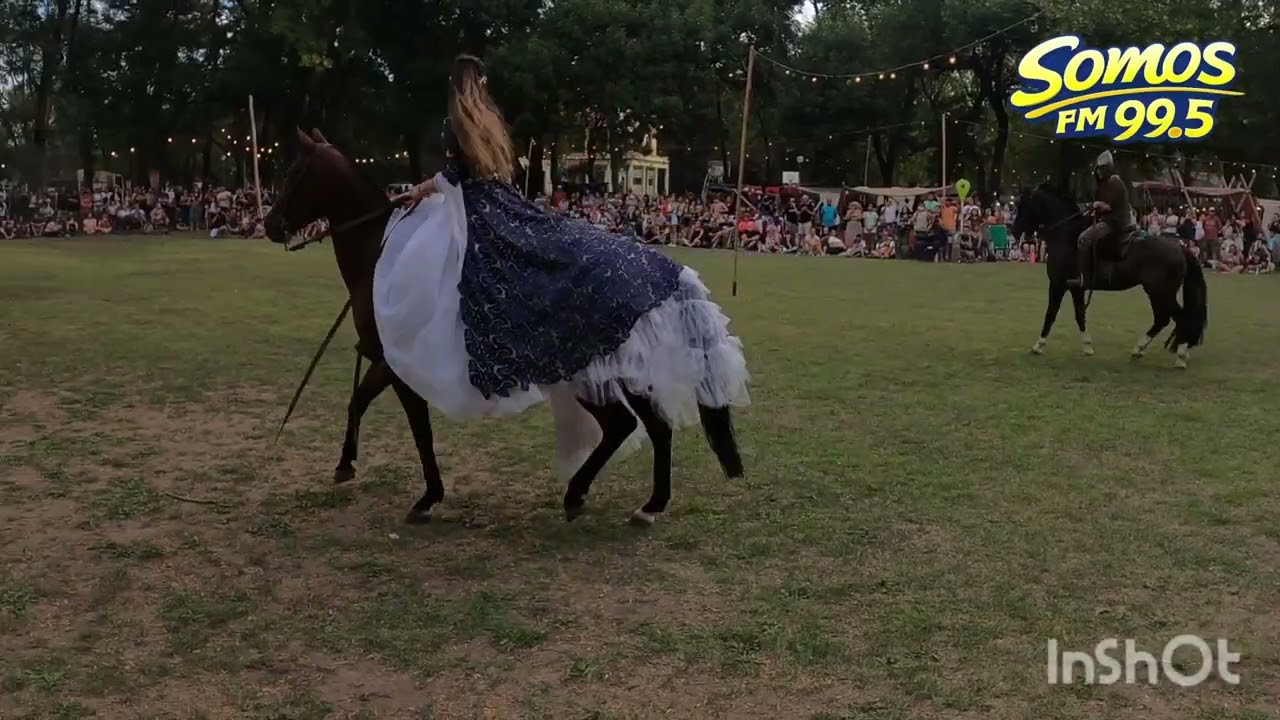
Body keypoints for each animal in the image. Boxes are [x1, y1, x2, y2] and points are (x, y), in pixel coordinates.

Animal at [263, 129, 744, 525]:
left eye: (295, 172)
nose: (269, 225)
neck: (379, 252)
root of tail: (667, 273)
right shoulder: (385, 362)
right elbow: (358, 402)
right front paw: (346, 464)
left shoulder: (395, 364)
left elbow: (417, 427)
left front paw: (428, 497)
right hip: (615, 371)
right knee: (649, 426)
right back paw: (640, 503)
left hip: (591, 374)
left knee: (626, 425)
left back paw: (587, 496)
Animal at [1012, 182, 1208, 368]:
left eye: (1024, 205)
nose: (1014, 231)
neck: (1067, 237)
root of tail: (1180, 248)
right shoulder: (1075, 289)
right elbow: (1079, 315)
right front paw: (1087, 347)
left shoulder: (1058, 285)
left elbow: (1050, 314)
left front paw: (1038, 345)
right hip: (1157, 293)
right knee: (1163, 319)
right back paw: (1140, 350)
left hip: (1160, 292)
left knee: (1178, 317)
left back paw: (1180, 356)